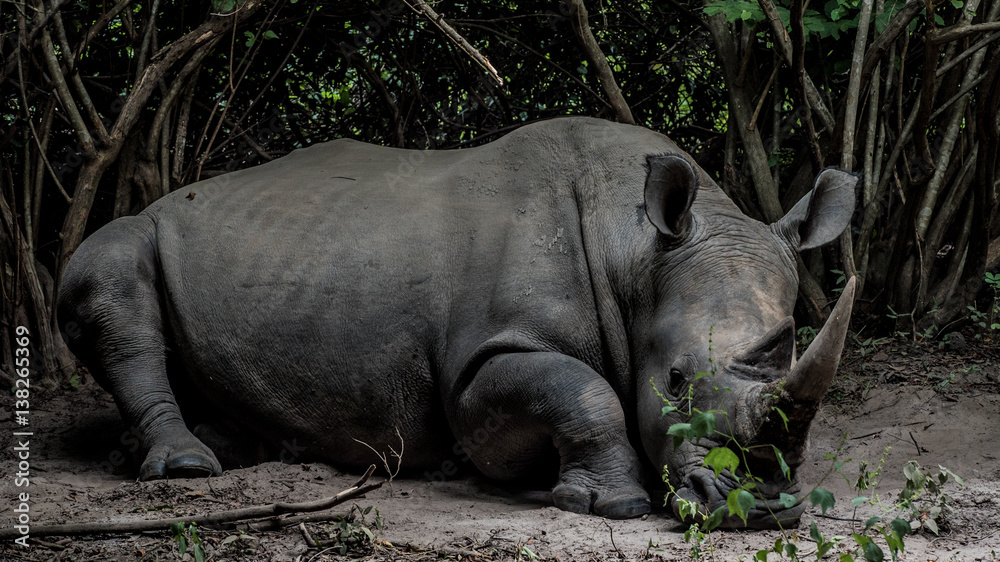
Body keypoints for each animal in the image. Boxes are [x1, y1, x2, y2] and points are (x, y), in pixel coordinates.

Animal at [58, 117, 857, 528]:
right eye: (678, 381)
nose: (761, 503)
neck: (636, 253)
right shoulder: (482, 364)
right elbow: (582, 392)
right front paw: (612, 504)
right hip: (132, 231)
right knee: (113, 278)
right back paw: (185, 465)